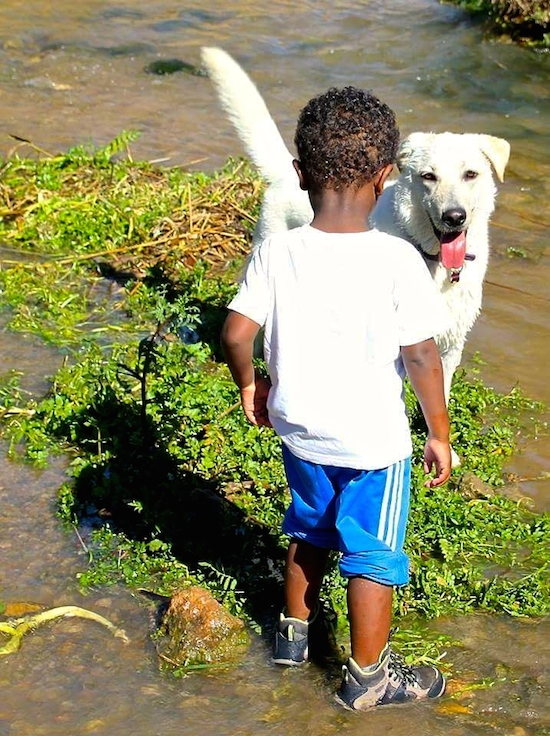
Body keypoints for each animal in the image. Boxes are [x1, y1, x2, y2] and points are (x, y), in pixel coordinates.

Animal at [204, 47, 512, 408]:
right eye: (428, 176)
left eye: (471, 174)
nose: (454, 217)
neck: (431, 259)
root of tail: (288, 174)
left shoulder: (449, 346)